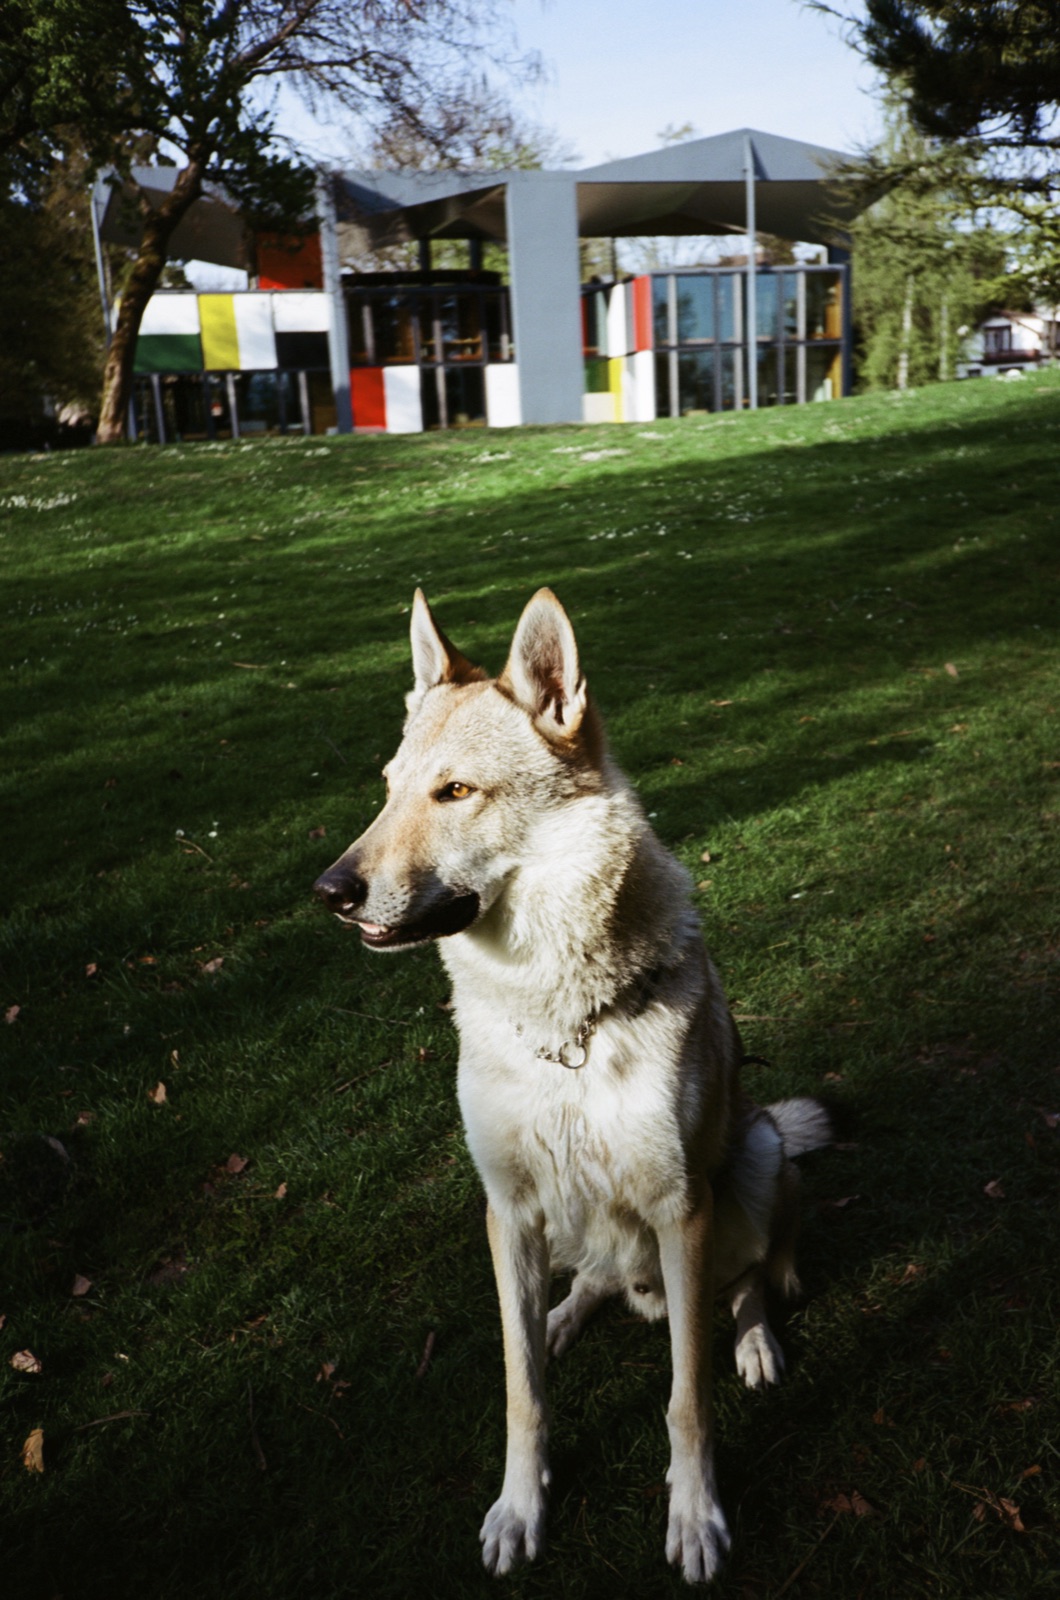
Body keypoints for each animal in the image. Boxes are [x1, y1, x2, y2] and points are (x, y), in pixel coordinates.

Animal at [314, 588, 831, 1584]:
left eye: (455, 793)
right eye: (389, 787)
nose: (331, 891)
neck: (561, 1023)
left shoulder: (682, 1207)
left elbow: (686, 1397)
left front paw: (696, 1517)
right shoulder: (507, 1207)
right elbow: (524, 1394)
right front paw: (520, 1508)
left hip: (752, 1156)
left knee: (752, 1269)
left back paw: (756, 1333)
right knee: (588, 1287)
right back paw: (559, 1319)